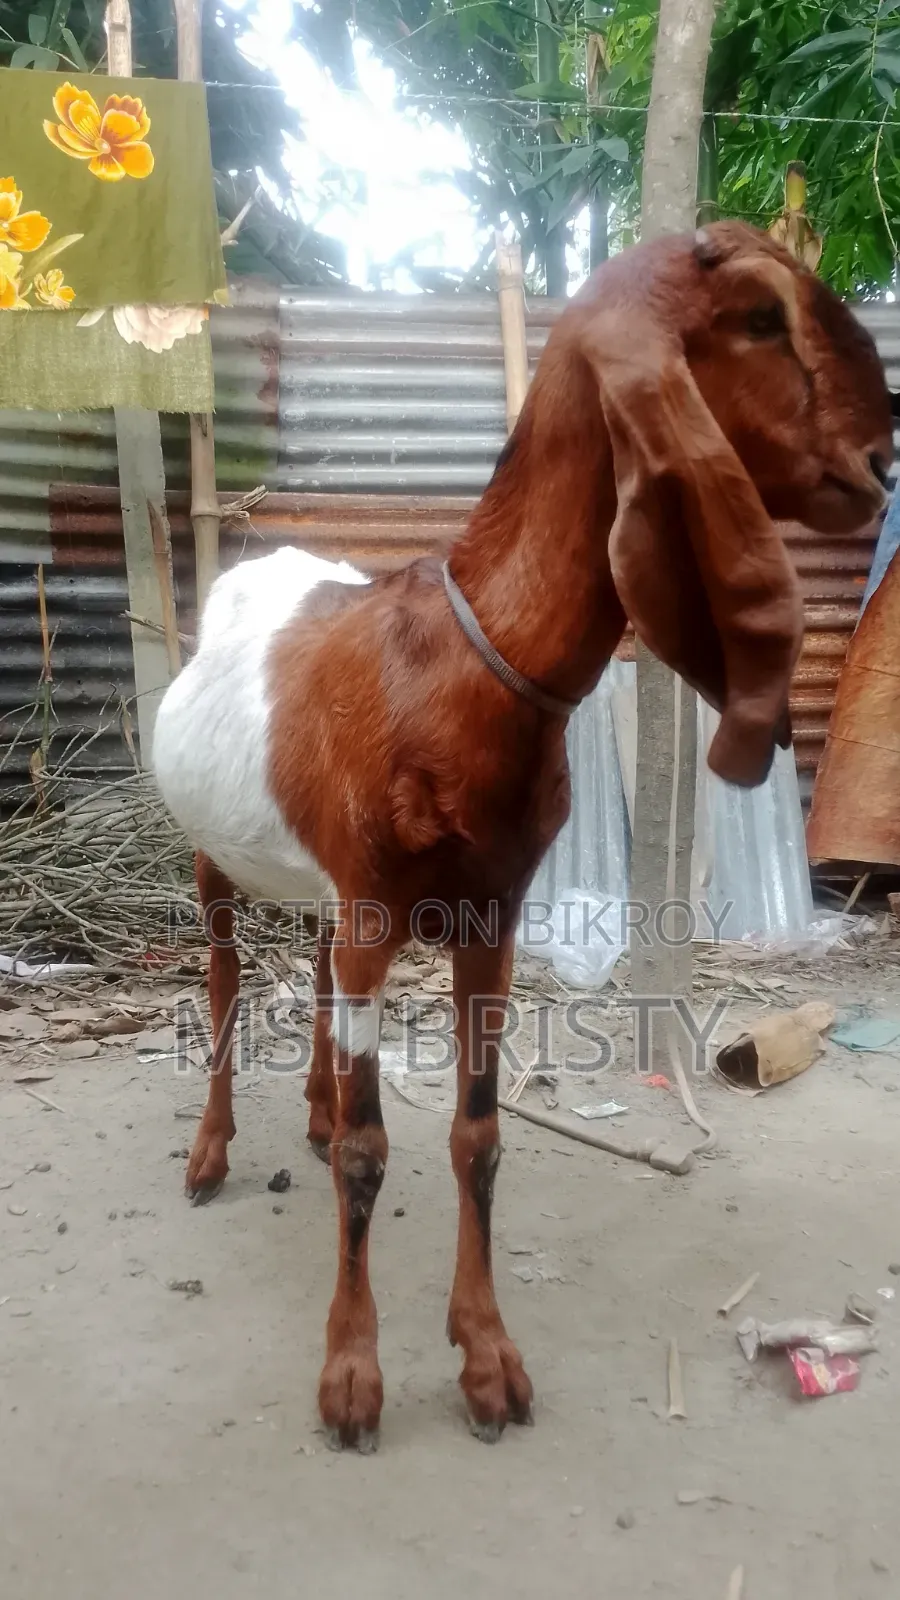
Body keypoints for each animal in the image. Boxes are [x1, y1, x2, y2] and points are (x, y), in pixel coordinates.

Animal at [152, 220, 890, 1452]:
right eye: (756, 317)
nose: (880, 466)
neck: (456, 672)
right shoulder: (377, 913)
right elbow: (374, 1154)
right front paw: (352, 1377)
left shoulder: (487, 918)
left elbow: (478, 1136)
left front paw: (488, 1359)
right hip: (214, 857)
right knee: (219, 980)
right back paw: (213, 1153)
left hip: (326, 890)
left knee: (311, 975)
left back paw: (309, 1112)